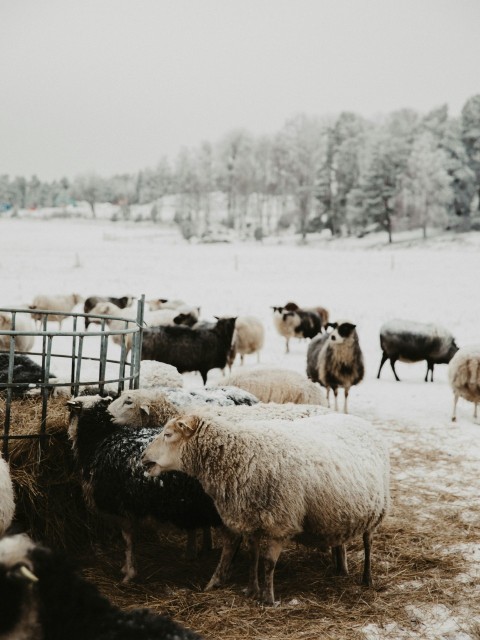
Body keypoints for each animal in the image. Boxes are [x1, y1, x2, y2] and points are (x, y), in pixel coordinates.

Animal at [142, 410, 390, 604]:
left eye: (168, 434)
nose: (143, 457)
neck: (241, 455)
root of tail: (358, 420)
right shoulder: (250, 517)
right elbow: (252, 556)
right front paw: (251, 589)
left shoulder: (281, 521)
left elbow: (269, 562)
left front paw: (268, 599)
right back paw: (340, 569)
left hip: (378, 509)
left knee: (368, 542)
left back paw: (367, 578)